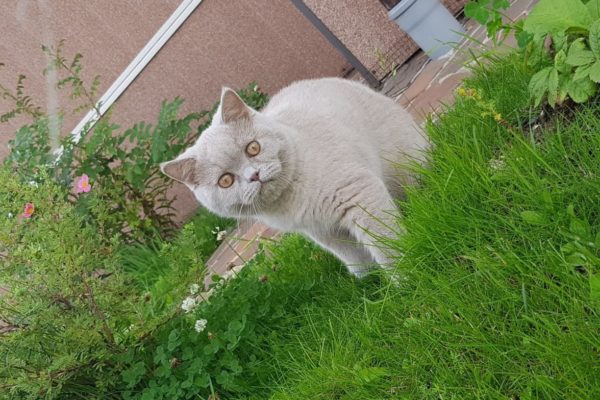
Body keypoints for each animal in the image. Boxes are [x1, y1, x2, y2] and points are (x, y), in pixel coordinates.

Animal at [162, 78, 428, 278]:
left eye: (253, 148)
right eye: (225, 180)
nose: (254, 175)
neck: (290, 201)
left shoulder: (359, 194)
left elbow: (386, 243)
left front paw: (404, 278)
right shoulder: (320, 229)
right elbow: (352, 254)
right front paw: (365, 280)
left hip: (406, 163)